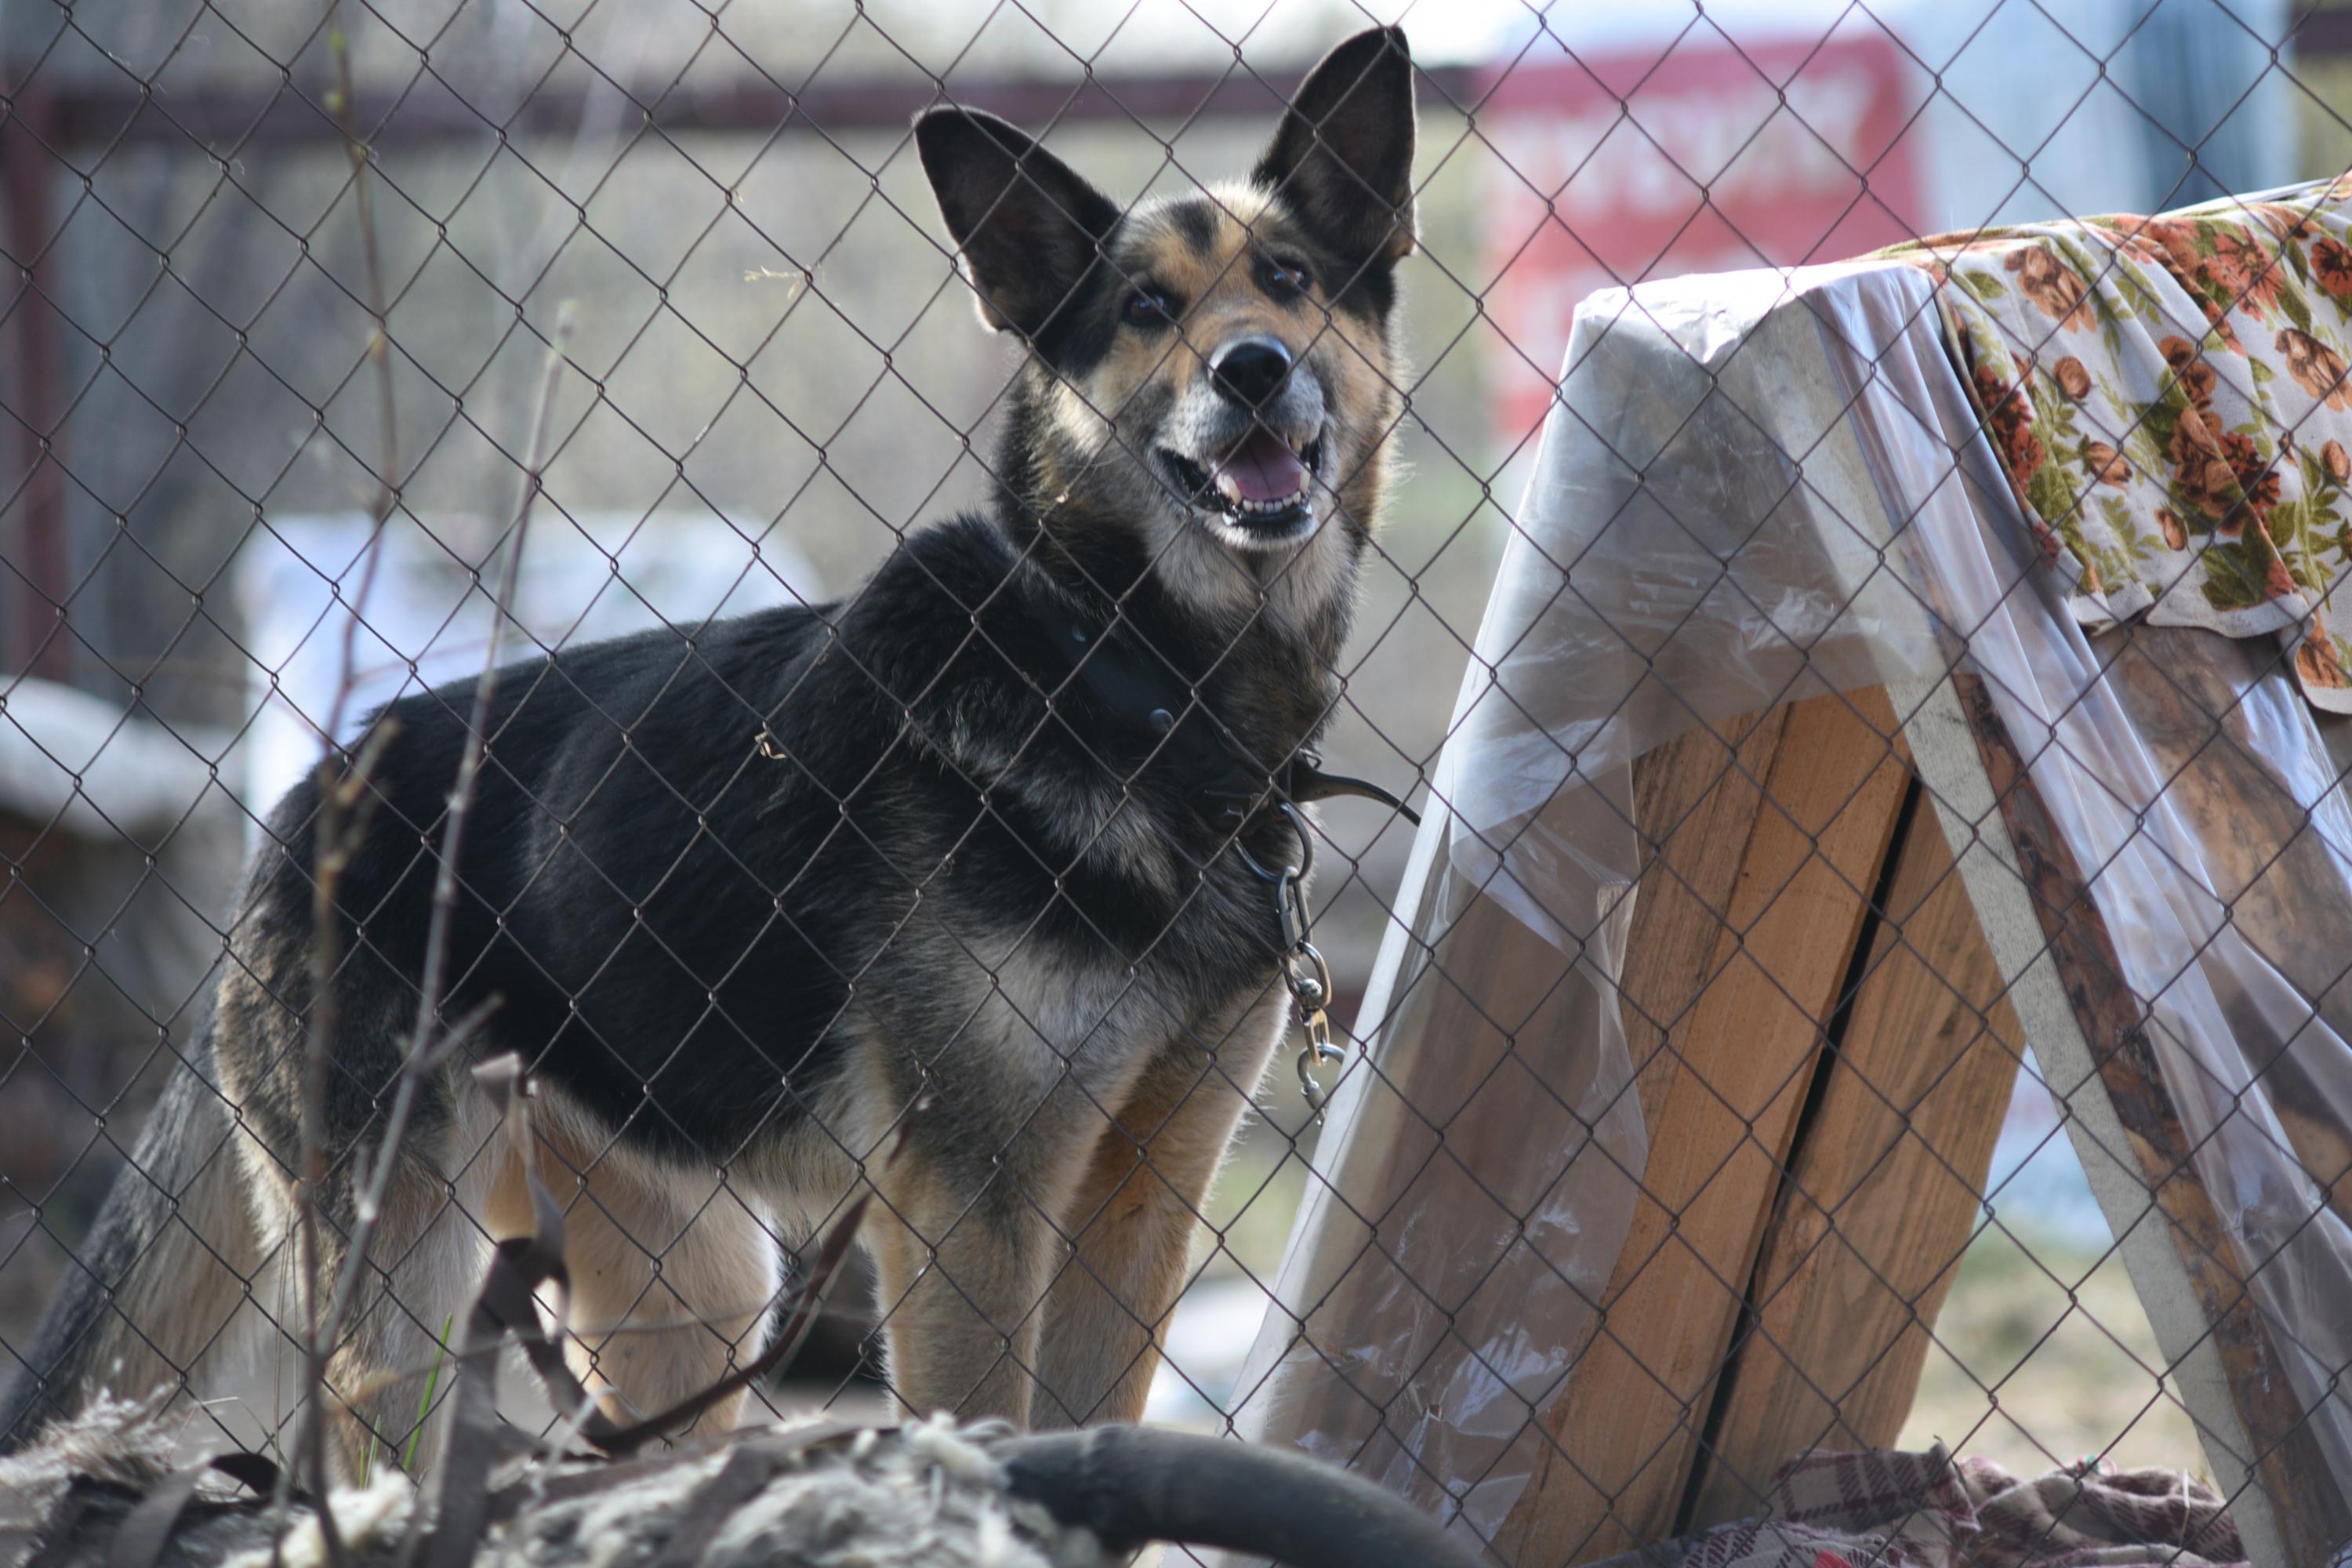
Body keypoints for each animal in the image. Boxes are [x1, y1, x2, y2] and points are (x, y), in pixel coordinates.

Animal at [4, 27, 1411, 1476]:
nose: (1253, 368)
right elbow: (986, 1431)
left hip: (694, 1304)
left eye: (1288, 279)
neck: (1117, 671)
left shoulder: (1136, 1205)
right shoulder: (970, 1210)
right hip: (401, 1303)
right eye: (1143, 307)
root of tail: (304, 801)